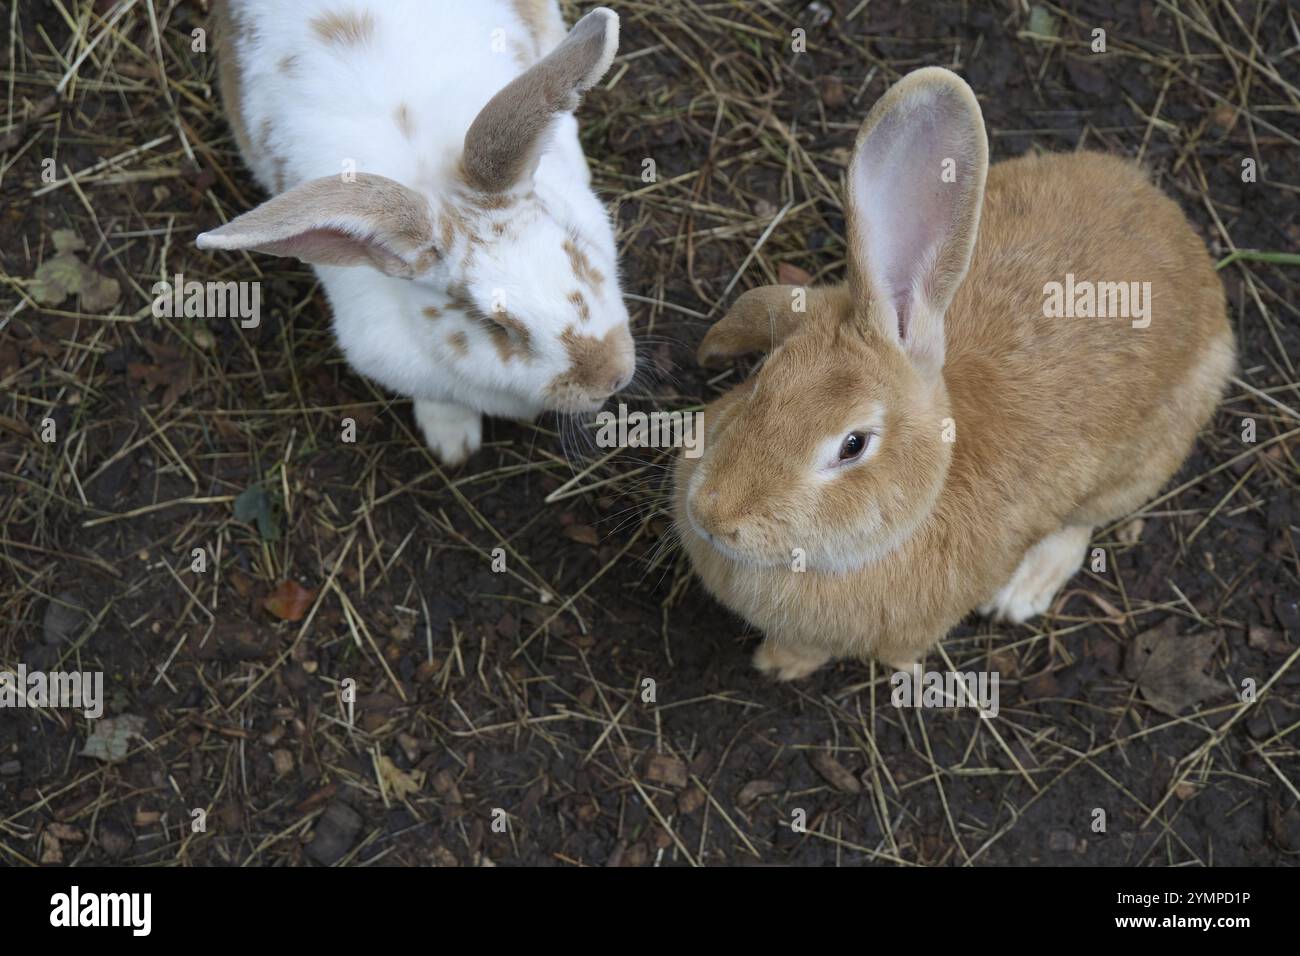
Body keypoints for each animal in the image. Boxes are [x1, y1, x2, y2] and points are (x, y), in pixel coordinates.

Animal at [676, 67, 1232, 681]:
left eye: (853, 445)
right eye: (763, 377)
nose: (712, 515)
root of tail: (1186, 243)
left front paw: (780, 664)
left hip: (1146, 457)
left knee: (1083, 521)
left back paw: (1023, 591)